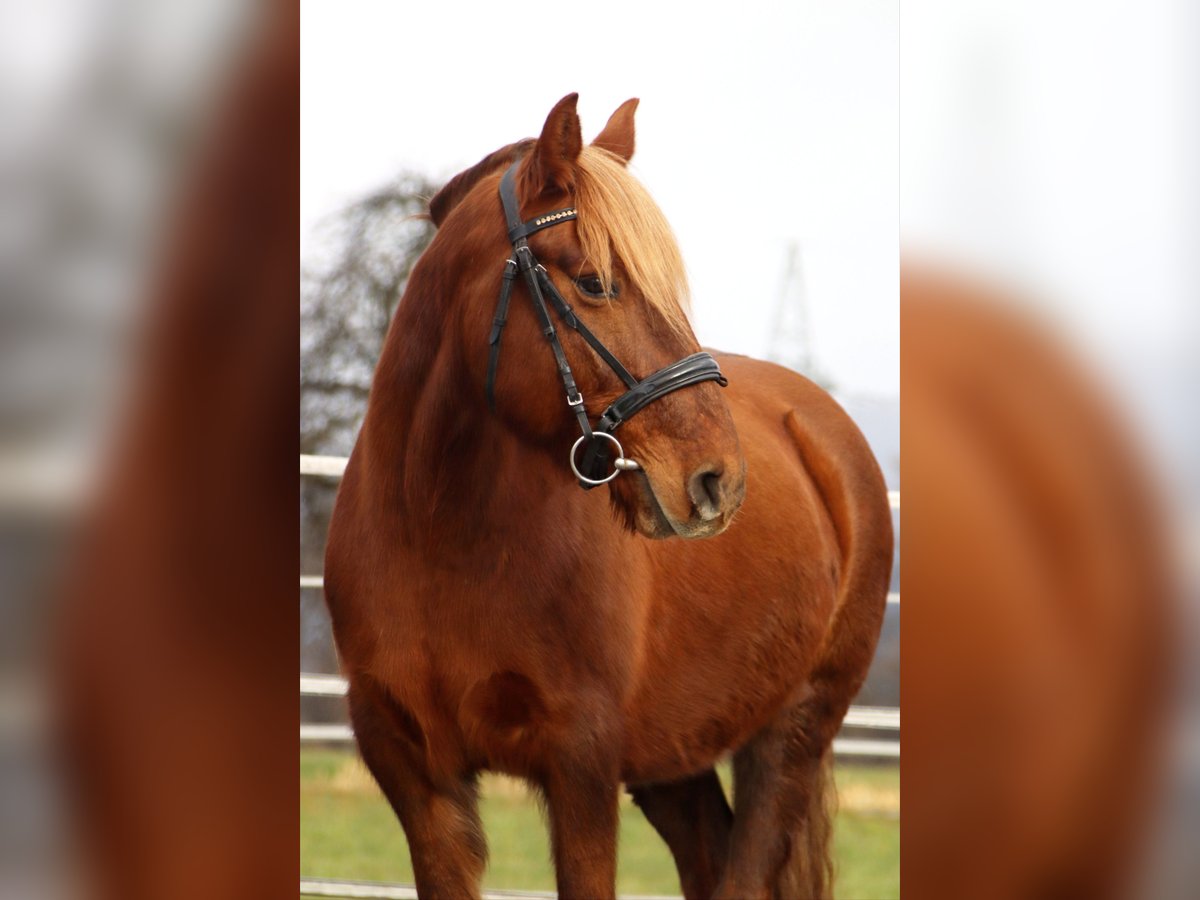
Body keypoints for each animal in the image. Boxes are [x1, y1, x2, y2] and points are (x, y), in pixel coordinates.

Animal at [326, 95, 892, 897]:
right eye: (593, 282)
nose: (717, 480)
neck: (440, 538)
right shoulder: (418, 778)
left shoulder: (583, 766)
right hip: (674, 756)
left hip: (791, 733)